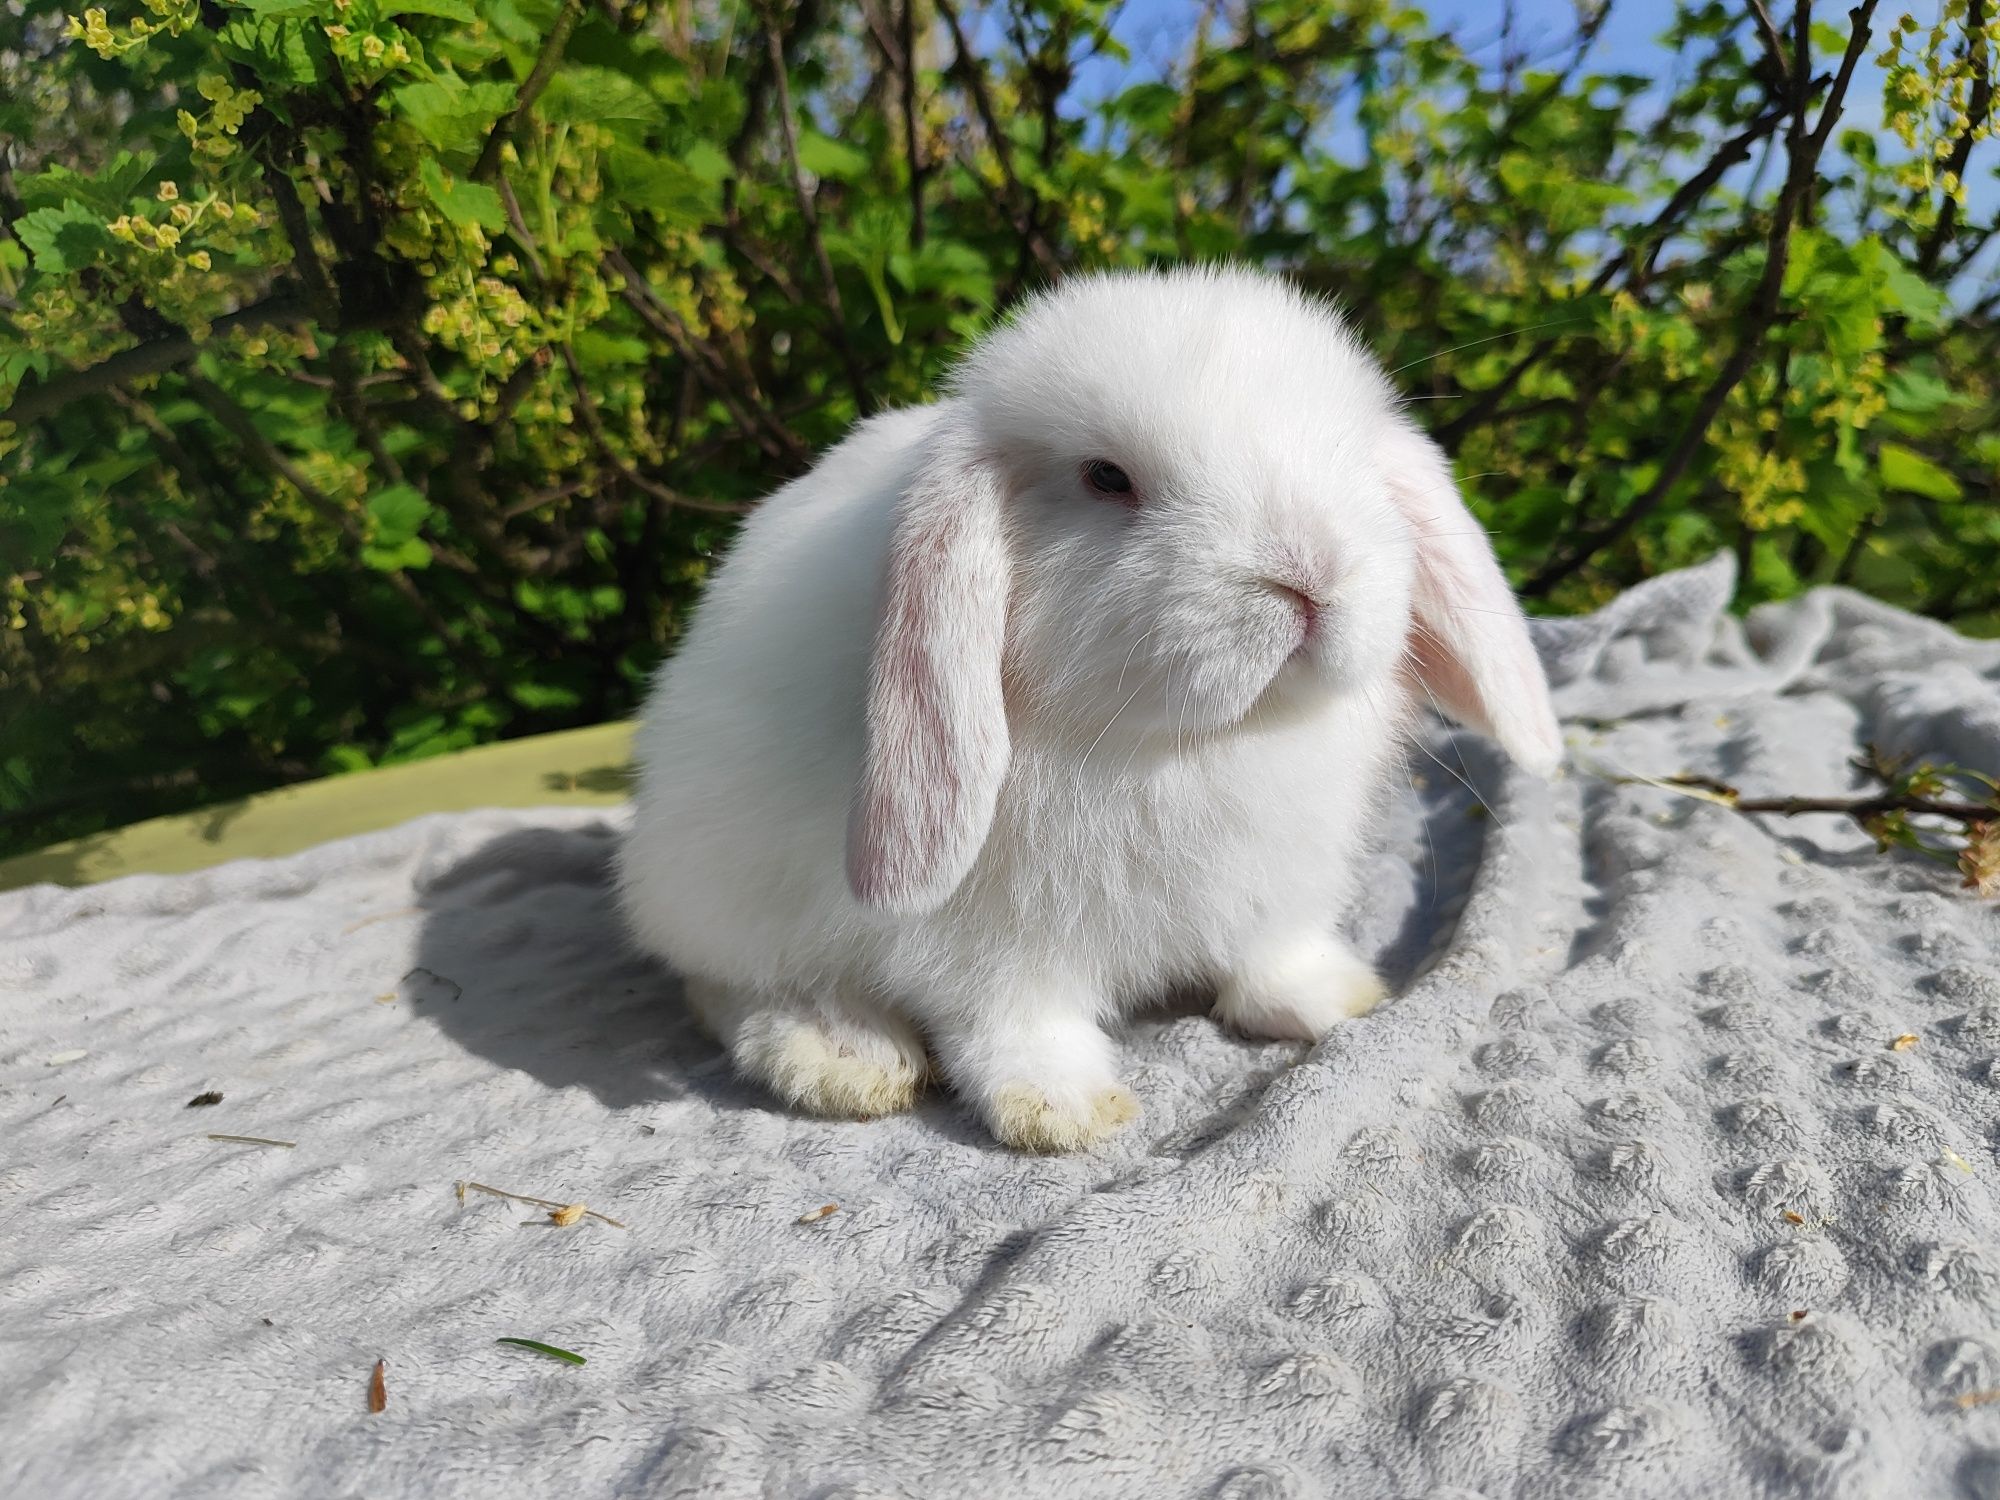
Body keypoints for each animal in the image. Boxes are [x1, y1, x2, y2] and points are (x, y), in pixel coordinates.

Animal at [612, 264, 1560, 1160]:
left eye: (1350, 456)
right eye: (1107, 478)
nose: (1311, 575)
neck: (1193, 743)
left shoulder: (1280, 887)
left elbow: (1274, 953)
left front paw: (1334, 1000)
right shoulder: (987, 950)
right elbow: (1014, 1025)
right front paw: (1064, 1111)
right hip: (722, 887)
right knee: (725, 986)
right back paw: (841, 1053)